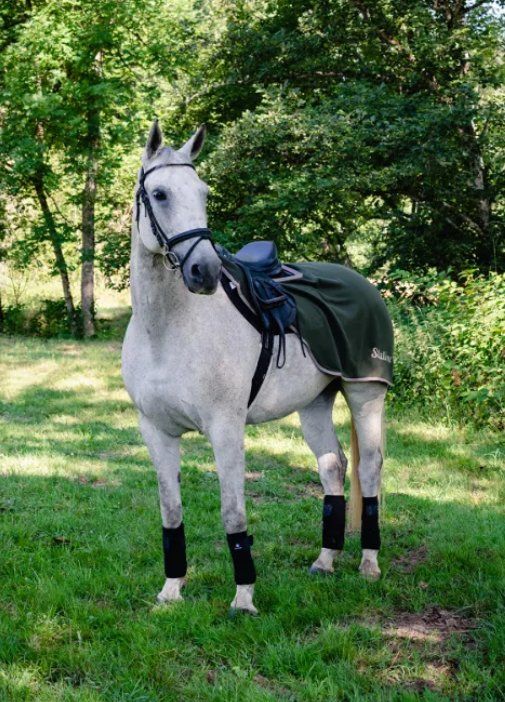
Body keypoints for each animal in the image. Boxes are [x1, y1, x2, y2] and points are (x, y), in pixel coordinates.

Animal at [122, 121, 389, 615]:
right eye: (161, 194)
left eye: (204, 193)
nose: (204, 271)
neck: (166, 331)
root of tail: (361, 282)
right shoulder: (156, 431)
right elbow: (171, 511)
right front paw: (171, 590)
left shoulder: (226, 429)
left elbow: (233, 513)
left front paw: (244, 598)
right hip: (315, 404)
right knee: (333, 466)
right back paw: (325, 560)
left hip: (366, 395)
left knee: (369, 469)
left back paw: (368, 564)